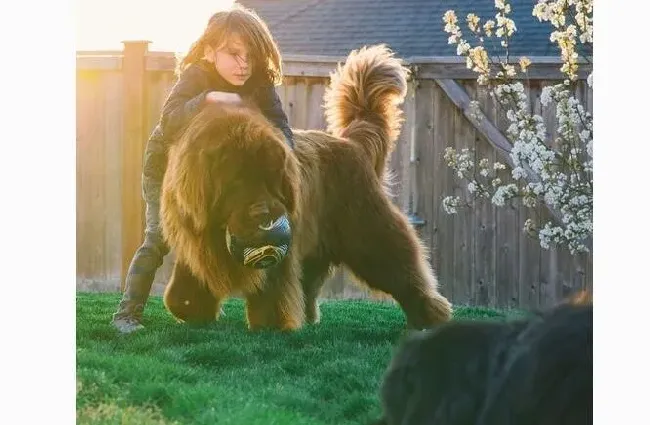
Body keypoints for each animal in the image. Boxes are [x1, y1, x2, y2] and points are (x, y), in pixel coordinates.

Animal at [158, 45, 450, 332]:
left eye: (270, 179)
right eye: (236, 180)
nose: (266, 217)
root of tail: (353, 144)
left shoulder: (282, 249)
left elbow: (274, 288)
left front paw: (272, 325)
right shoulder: (194, 237)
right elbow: (187, 284)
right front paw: (193, 309)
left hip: (367, 230)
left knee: (399, 267)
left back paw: (429, 315)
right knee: (309, 283)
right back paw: (309, 317)